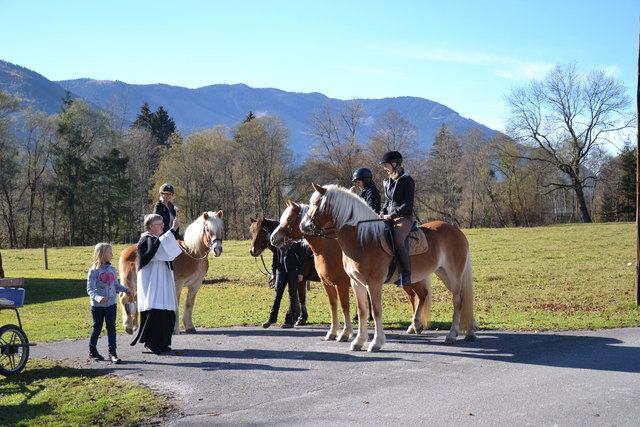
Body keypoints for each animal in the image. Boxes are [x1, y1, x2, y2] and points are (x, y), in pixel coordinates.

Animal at [270, 201, 424, 344]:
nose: (273, 238)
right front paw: (333, 332)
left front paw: (345, 333)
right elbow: (333, 306)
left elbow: (344, 306)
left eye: (290, 218)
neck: (329, 249)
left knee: (420, 296)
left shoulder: (341, 284)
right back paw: (415, 326)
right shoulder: (327, 283)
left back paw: (415, 325)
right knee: (417, 297)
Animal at [300, 186, 476, 352]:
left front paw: (376, 342)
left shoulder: (373, 283)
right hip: (443, 274)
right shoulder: (357, 283)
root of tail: (457, 231)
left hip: (453, 275)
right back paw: (468, 331)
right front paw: (359, 341)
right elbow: (362, 310)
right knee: (455, 298)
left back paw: (452, 334)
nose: (303, 226)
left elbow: (376, 310)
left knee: (458, 301)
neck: (363, 240)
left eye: (316, 203)